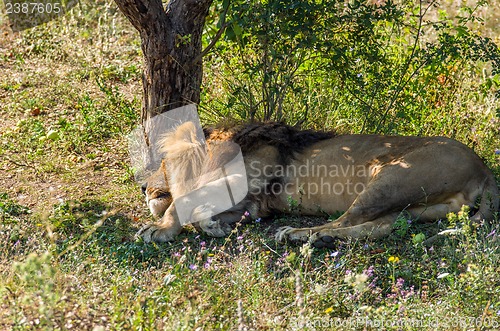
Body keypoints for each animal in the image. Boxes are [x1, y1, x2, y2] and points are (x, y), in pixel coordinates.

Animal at [136, 120, 496, 248]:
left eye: (163, 164)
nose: (142, 188)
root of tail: (484, 167)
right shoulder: (254, 204)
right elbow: (204, 209)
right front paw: (212, 225)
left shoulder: (244, 179)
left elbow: (185, 200)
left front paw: (158, 228)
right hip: (415, 206)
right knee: (379, 227)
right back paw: (322, 239)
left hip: (390, 176)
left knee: (347, 220)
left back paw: (299, 234)